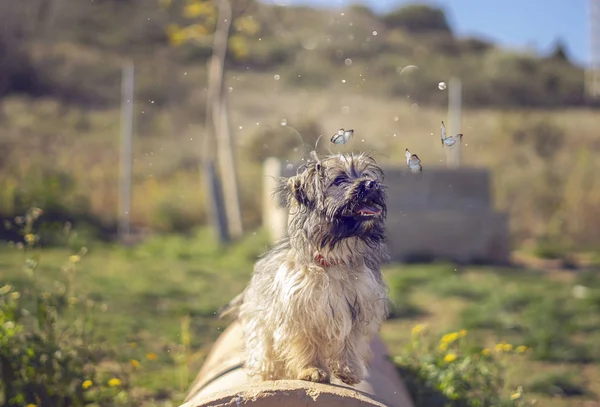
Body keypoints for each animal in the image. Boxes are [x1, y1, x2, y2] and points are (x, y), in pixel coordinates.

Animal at [218, 151, 392, 388]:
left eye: (365, 174)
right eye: (339, 180)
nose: (371, 183)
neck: (332, 258)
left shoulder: (358, 307)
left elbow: (349, 340)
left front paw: (348, 368)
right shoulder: (298, 312)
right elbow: (305, 344)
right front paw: (312, 370)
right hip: (262, 335)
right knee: (267, 360)